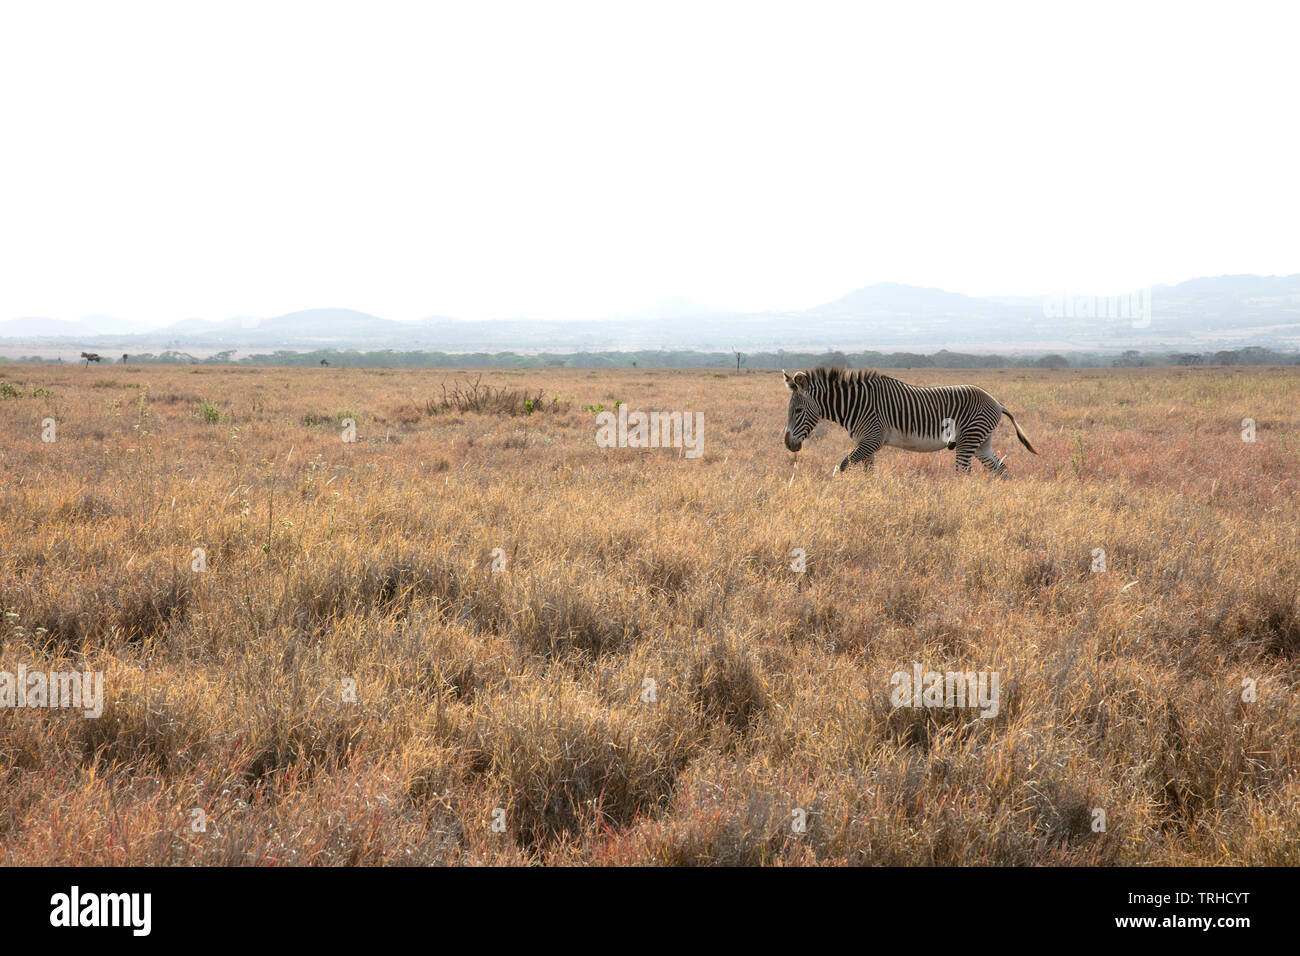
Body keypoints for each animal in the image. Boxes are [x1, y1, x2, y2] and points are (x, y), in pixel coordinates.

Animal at [782, 367, 1037, 475]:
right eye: (790, 410)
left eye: (798, 410)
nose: (787, 444)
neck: (855, 404)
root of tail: (997, 403)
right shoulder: (867, 444)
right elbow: (868, 473)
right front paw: (867, 498)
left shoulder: (872, 439)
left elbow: (842, 466)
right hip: (982, 442)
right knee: (1000, 469)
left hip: (969, 440)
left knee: (964, 473)